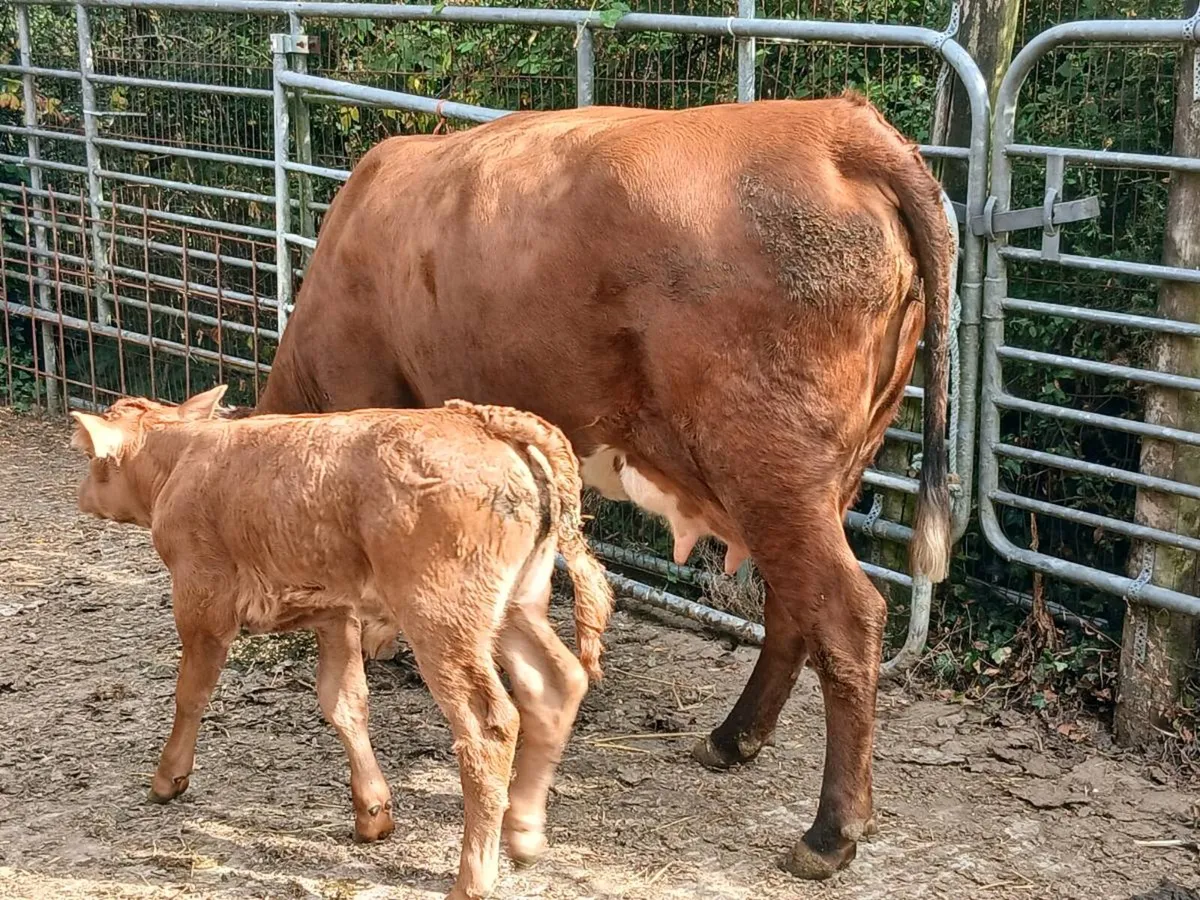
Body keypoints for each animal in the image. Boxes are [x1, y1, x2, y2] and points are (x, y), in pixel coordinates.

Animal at [70, 386, 615, 900]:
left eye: (92, 458)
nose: (83, 494)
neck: (183, 457)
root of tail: (484, 421)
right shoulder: (334, 613)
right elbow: (344, 702)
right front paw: (373, 813)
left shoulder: (201, 604)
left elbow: (191, 694)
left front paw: (168, 778)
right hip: (516, 607)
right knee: (556, 683)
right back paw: (524, 834)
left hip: (441, 622)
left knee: (490, 727)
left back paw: (473, 880)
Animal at [246, 93, 956, 878]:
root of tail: (838, 123)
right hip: (821, 475)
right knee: (794, 608)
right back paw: (732, 738)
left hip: (772, 467)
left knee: (846, 617)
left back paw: (829, 831)